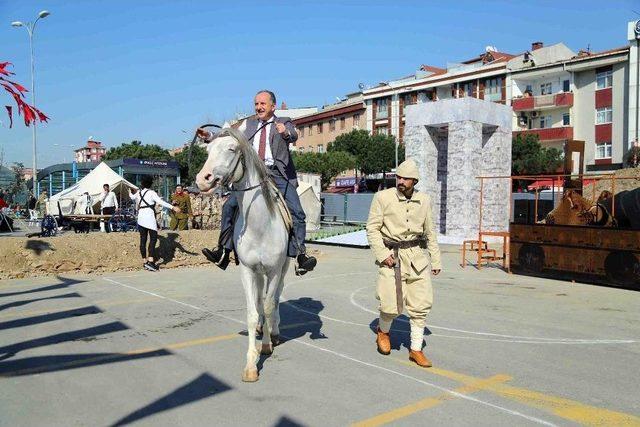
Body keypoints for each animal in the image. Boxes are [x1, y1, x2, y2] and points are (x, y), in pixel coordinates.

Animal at [195, 126, 290, 382]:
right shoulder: (247, 270)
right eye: (207, 150)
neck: (260, 224)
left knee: (275, 297)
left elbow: (268, 306)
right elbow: (252, 312)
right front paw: (250, 365)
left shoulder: (274, 270)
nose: (202, 179)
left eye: (231, 149)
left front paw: (266, 344)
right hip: (258, 273)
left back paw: (274, 330)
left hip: (283, 268)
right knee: (260, 300)